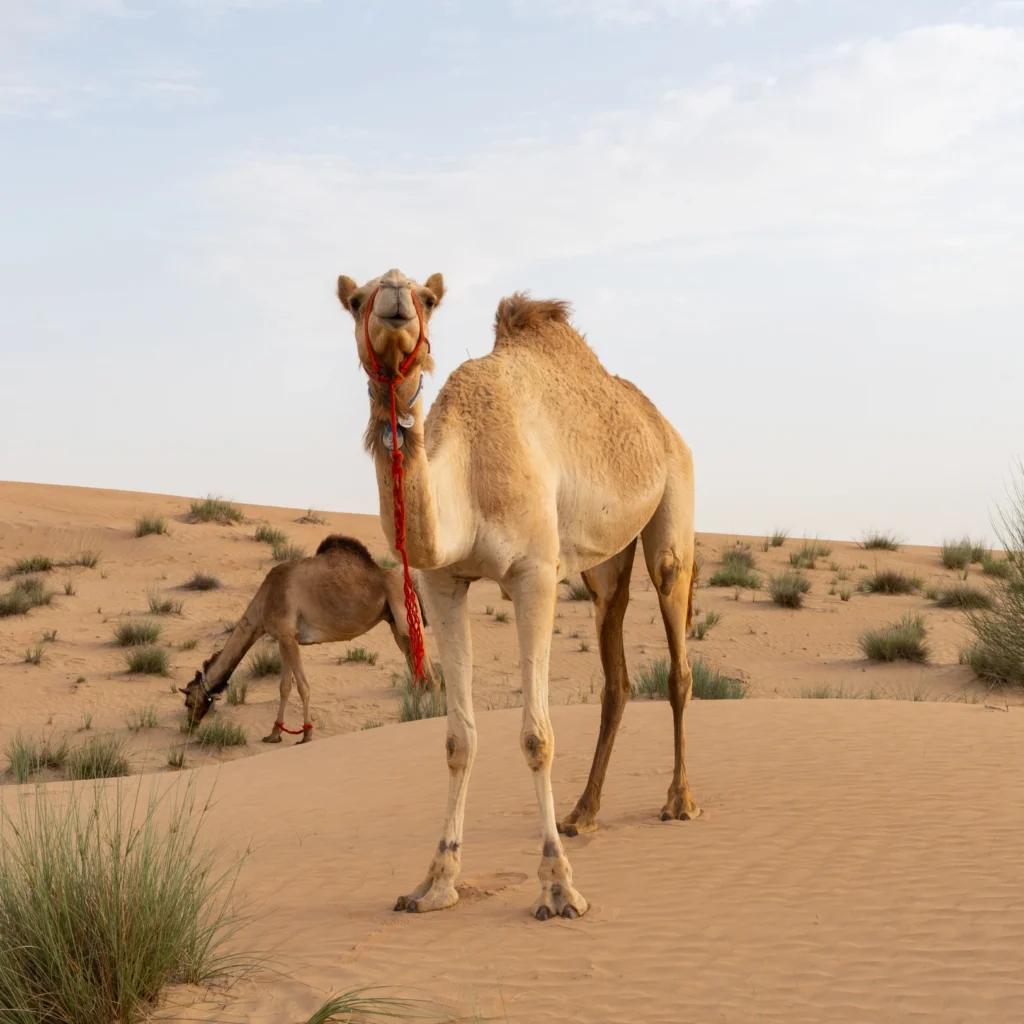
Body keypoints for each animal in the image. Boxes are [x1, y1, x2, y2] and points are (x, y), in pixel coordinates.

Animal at [180, 532, 436, 741]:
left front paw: (306, 735)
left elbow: (303, 686)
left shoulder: (288, 635)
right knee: (415, 660)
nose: (190, 725)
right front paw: (274, 734)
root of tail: (410, 583)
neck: (263, 604)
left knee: (429, 669)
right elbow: (284, 686)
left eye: (188, 700)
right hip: (393, 620)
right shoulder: (282, 638)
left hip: (403, 615)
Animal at [339, 268, 700, 925]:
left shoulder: (534, 574)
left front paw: (559, 889)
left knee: (677, 652)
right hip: (602, 567)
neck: (469, 472)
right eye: (356, 300)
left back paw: (679, 801)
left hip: (673, 509)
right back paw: (582, 813)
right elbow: (458, 738)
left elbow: (537, 736)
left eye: (427, 299)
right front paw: (434, 884)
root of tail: (664, 427)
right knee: (616, 673)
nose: (396, 299)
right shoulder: (441, 584)